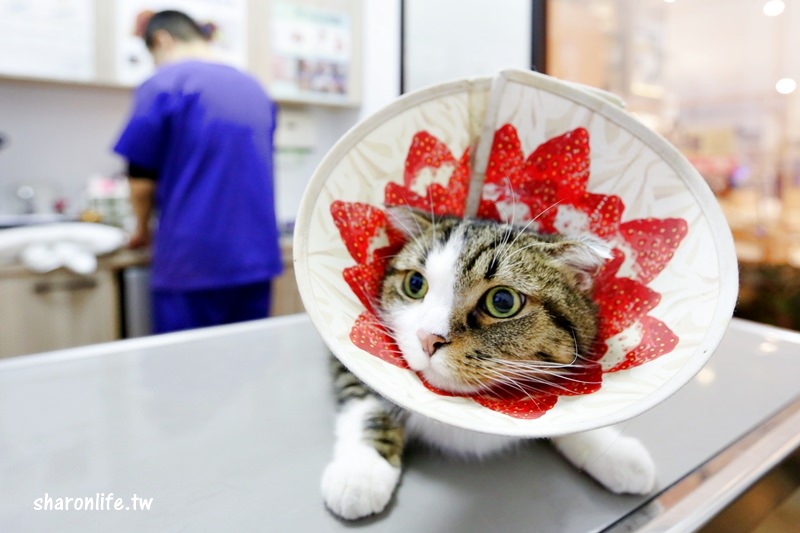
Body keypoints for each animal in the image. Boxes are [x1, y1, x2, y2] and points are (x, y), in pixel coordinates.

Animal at [318, 206, 656, 516]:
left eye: (502, 302)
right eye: (415, 284)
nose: (428, 338)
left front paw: (612, 451)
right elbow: (367, 399)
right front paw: (360, 471)